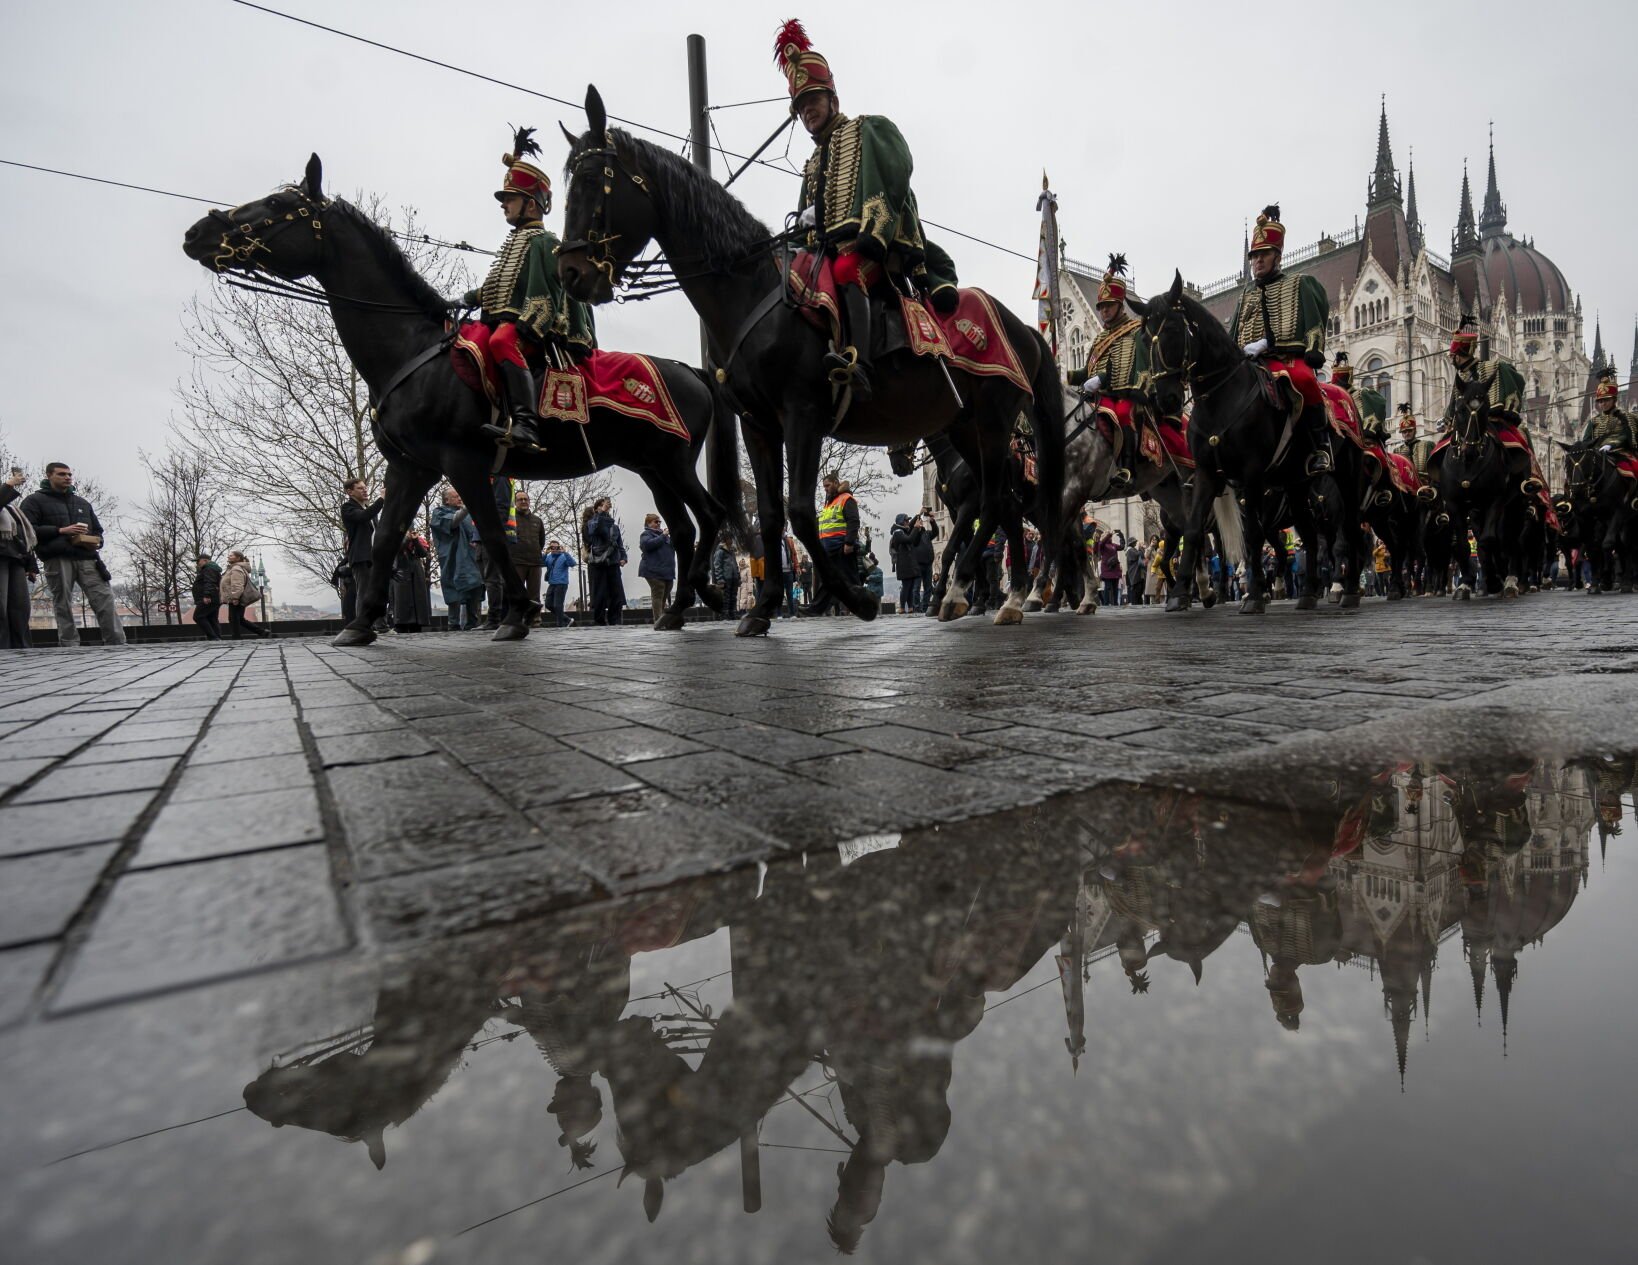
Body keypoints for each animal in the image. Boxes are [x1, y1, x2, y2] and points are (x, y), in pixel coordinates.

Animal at [182, 153, 740, 642]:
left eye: (277, 205)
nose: (197, 233)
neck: (412, 351)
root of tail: (690, 370)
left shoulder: (463, 462)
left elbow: (492, 535)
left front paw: (517, 613)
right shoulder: (410, 467)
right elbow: (386, 538)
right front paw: (361, 623)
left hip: (672, 463)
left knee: (709, 516)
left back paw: (698, 600)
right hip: (652, 467)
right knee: (683, 528)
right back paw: (685, 605)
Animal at [556, 85, 1067, 639]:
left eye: (593, 179)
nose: (570, 273)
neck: (752, 290)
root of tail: (1024, 329)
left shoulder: (803, 413)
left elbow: (802, 512)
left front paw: (857, 599)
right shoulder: (758, 424)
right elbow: (771, 515)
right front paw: (762, 608)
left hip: (993, 421)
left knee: (996, 502)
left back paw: (976, 594)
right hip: (965, 425)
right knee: (1006, 504)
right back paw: (1001, 596)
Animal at [1140, 272, 1369, 616]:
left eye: (1172, 330)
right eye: (1144, 338)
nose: (1163, 398)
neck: (1221, 398)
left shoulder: (1251, 475)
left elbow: (1251, 537)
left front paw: (1254, 595)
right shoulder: (1207, 476)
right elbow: (1193, 533)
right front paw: (1180, 594)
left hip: (1346, 477)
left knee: (1349, 530)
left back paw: (1349, 589)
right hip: (1296, 484)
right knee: (1311, 537)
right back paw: (1308, 593)